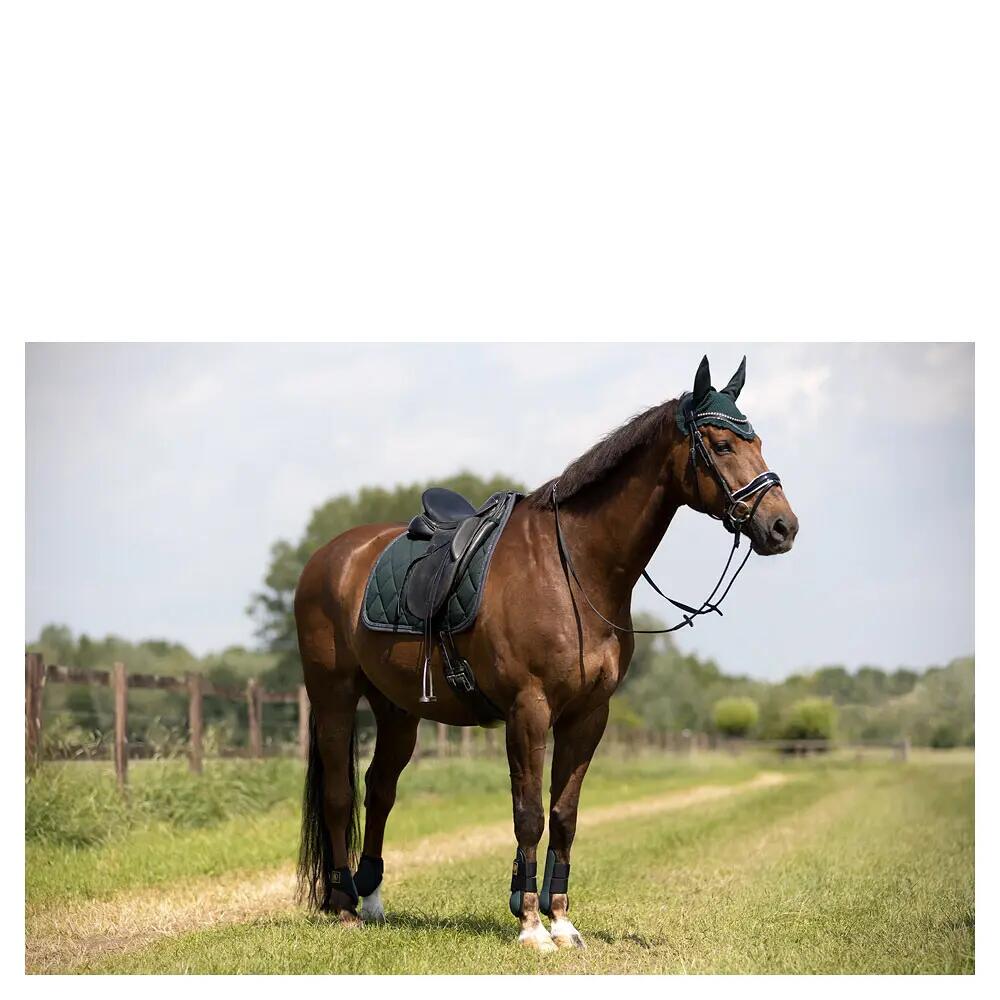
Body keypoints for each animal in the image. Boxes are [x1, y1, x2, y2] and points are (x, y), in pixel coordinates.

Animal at [294, 355, 798, 952]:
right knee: (339, 793)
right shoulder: (528, 711)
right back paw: (344, 903)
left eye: (757, 440)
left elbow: (564, 815)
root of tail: (330, 556)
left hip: (398, 710)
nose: (782, 526)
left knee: (380, 789)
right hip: (333, 696)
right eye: (721, 445)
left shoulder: (588, 716)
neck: (573, 571)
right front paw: (530, 924)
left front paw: (562, 922)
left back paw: (372, 899)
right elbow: (529, 814)